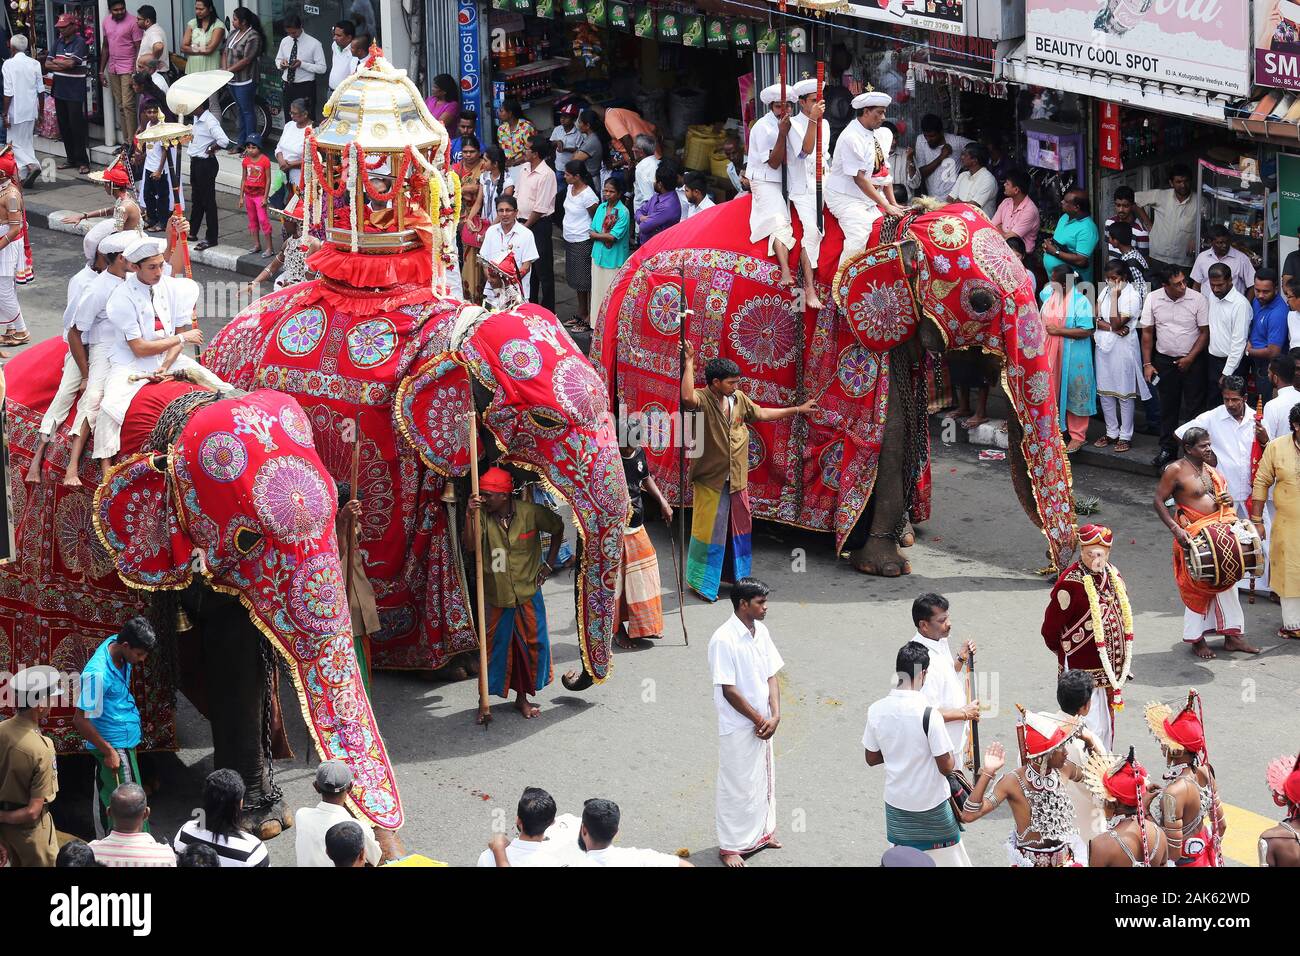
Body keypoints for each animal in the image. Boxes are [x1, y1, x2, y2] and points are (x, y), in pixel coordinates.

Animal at [592, 195, 1076, 574]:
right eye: (980, 301)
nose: (1050, 567)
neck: (894, 233)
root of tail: (618, 283)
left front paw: (904, 537)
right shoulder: (858, 341)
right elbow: (886, 435)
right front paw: (887, 565)